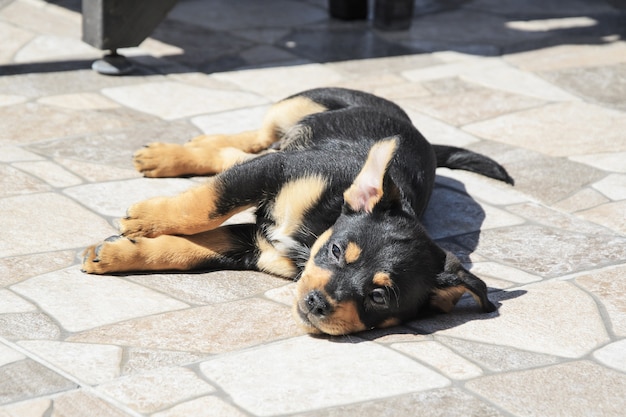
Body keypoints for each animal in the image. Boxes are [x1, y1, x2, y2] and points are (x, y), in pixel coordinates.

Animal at [81, 88, 512, 334]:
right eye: (337, 251)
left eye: (379, 296)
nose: (317, 304)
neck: (315, 231)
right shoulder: (276, 170)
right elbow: (207, 205)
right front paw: (145, 219)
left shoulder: (255, 248)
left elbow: (190, 251)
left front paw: (116, 253)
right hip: (294, 109)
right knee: (250, 142)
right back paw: (170, 154)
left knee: (237, 152)